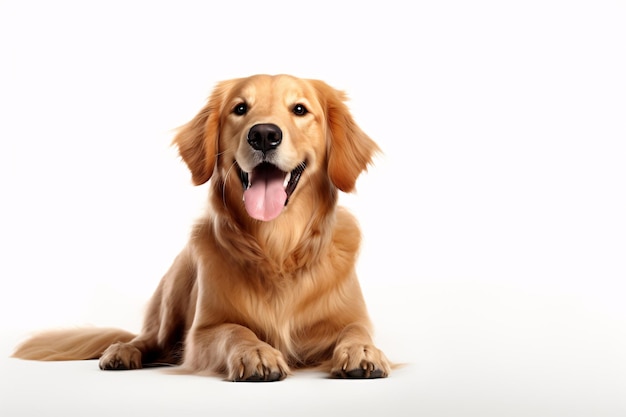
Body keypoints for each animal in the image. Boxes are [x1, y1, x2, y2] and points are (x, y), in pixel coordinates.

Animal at [12, 75, 388, 380]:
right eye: (240, 108)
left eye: (300, 109)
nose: (264, 134)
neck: (277, 248)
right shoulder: (202, 333)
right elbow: (234, 330)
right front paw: (256, 352)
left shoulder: (349, 317)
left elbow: (356, 330)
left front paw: (363, 352)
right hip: (177, 280)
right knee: (150, 339)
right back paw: (122, 351)